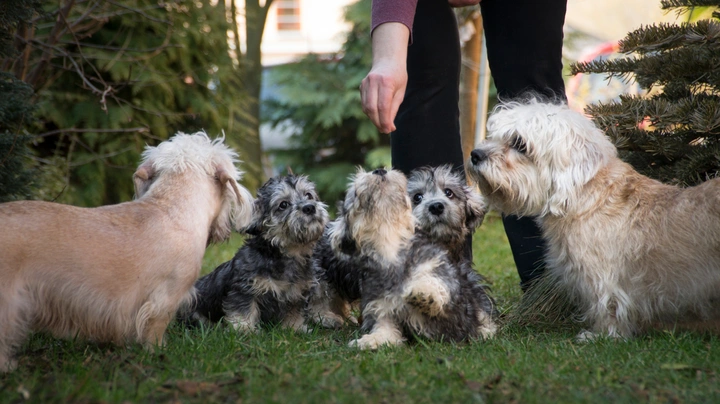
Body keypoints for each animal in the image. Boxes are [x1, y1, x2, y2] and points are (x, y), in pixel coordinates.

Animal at [186, 174, 332, 332]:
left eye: (309, 195)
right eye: (283, 204)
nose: (309, 207)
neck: (287, 254)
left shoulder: (296, 293)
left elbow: (294, 312)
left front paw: (295, 328)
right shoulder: (244, 290)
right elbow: (244, 310)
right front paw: (244, 330)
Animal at [330, 169, 496, 348]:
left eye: (448, 192)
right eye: (355, 193)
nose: (379, 170)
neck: (391, 248)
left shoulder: (442, 272)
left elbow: (434, 283)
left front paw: (424, 294)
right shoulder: (382, 306)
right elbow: (386, 332)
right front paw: (369, 341)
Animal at [466, 98, 720, 340]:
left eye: (519, 143)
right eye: (494, 135)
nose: (475, 155)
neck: (583, 198)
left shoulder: (603, 278)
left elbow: (608, 305)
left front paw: (602, 335)